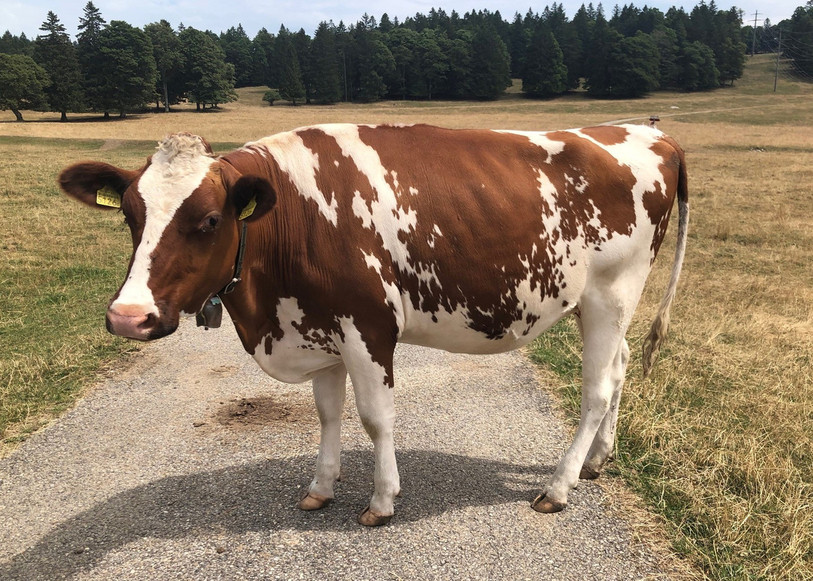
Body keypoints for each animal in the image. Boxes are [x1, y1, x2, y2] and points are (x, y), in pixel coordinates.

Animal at [58, 123, 688, 526]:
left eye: (210, 220)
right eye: (130, 214)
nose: (128, 317)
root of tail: (650, 133)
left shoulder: (368, 326)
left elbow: (375, 417)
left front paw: (382, 502)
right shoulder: (316, 325)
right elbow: (328, 414)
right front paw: (320, 487)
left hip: (613, 292)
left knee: (597, 388)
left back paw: (558, 487)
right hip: (597, 305)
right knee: (621, 367)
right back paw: (598, 461)